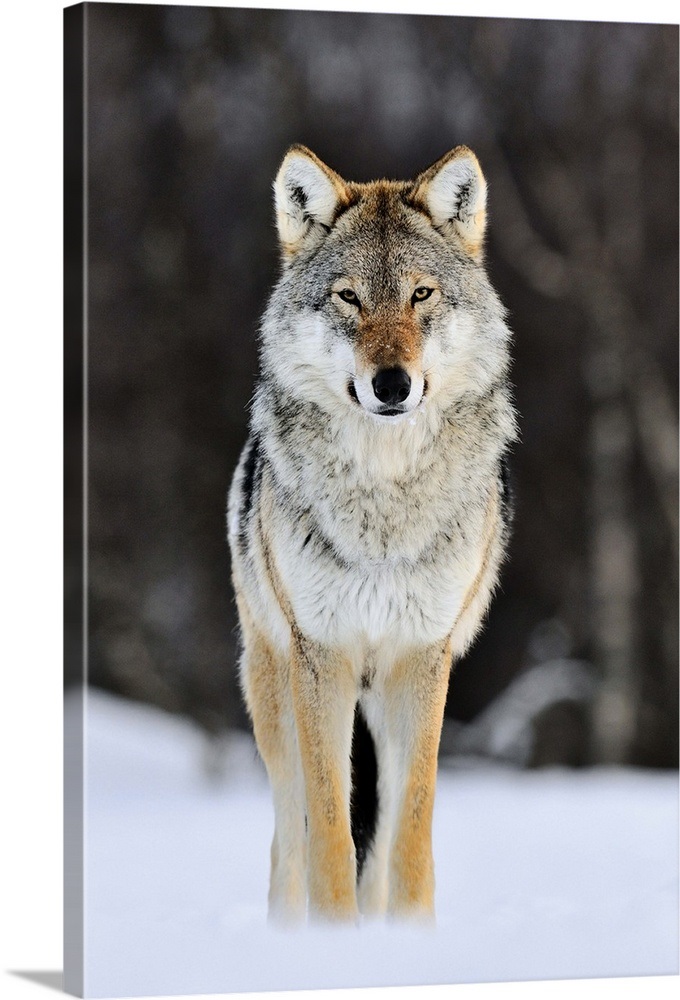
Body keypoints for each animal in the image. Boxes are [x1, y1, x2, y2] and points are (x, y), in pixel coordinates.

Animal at [227, 145, 516, 924]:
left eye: (420, 295)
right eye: (350, 298)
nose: (391, 383)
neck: (384, 512)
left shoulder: (421, 658)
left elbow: (409, 833)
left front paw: (409, 937)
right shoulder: (321, 657)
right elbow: (328, 832)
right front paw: (334, 938)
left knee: (380, 842)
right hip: (275, 695)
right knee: (287, 838)